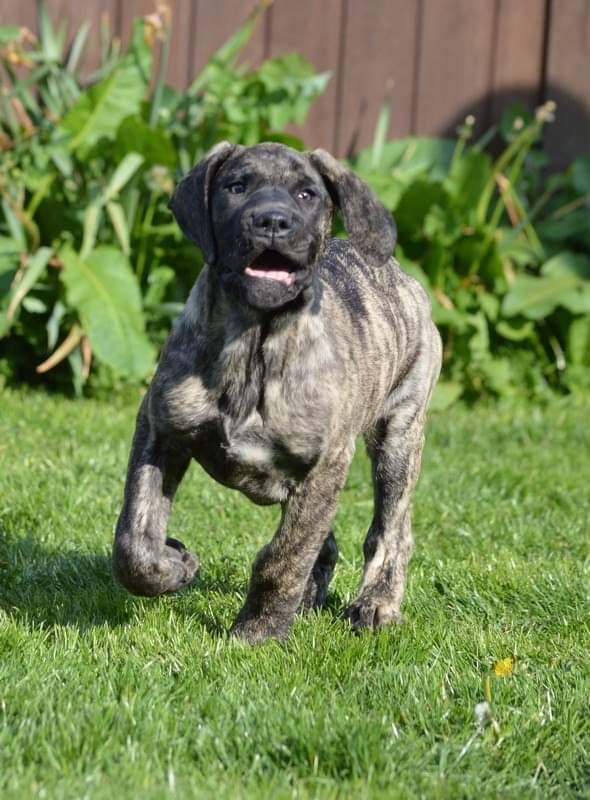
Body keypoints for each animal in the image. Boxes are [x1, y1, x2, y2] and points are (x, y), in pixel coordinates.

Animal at [113, 142, 441, 644]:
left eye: (307, 194)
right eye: (236, 186)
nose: (271, 220)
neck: (251, 344)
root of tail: (401, 275)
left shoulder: (327, 463)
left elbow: (284, 557)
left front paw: (259, 632)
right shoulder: (159, 429)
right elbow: (134, 537)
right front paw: (175, 565)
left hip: (399, 435)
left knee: (390, 529)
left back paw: (376, 604)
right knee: (325, 540)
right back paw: (308, 601)